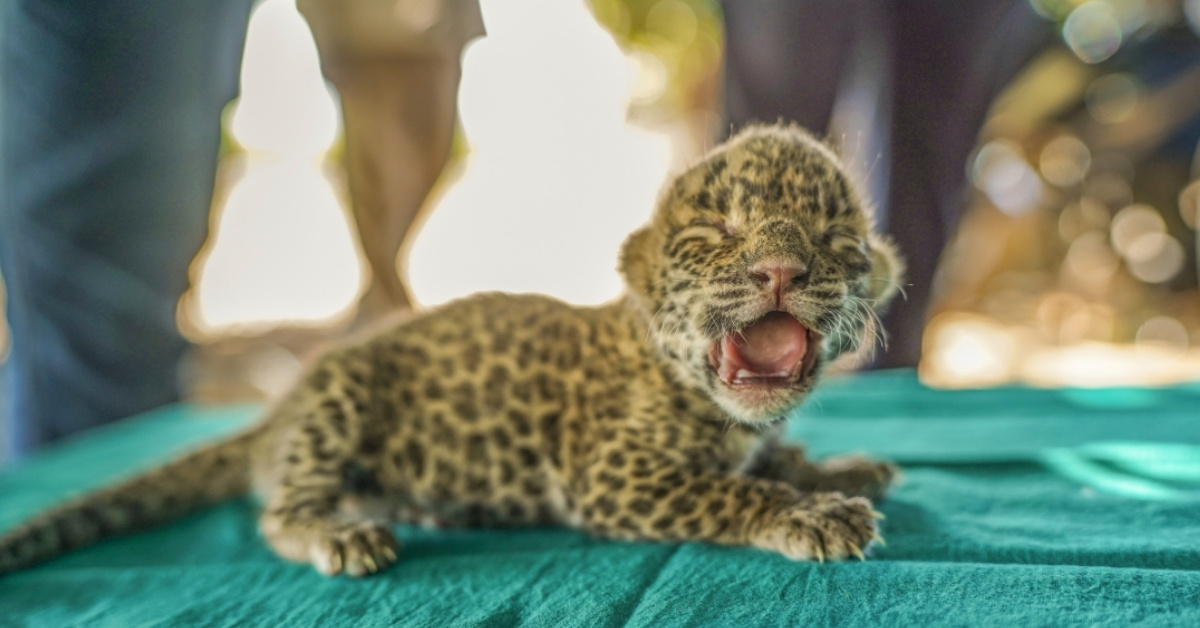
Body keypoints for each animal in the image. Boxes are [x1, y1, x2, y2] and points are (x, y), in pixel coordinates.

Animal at [0, 123, 904, 577]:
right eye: (717, 231)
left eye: (834, 239)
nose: (780, 269)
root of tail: (273, 419)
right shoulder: (615, 476)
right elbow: (728, 490)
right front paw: (810, 513)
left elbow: (769, 460)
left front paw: (837, 468)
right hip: (339, 393)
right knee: (279, 513)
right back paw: (337, 535)